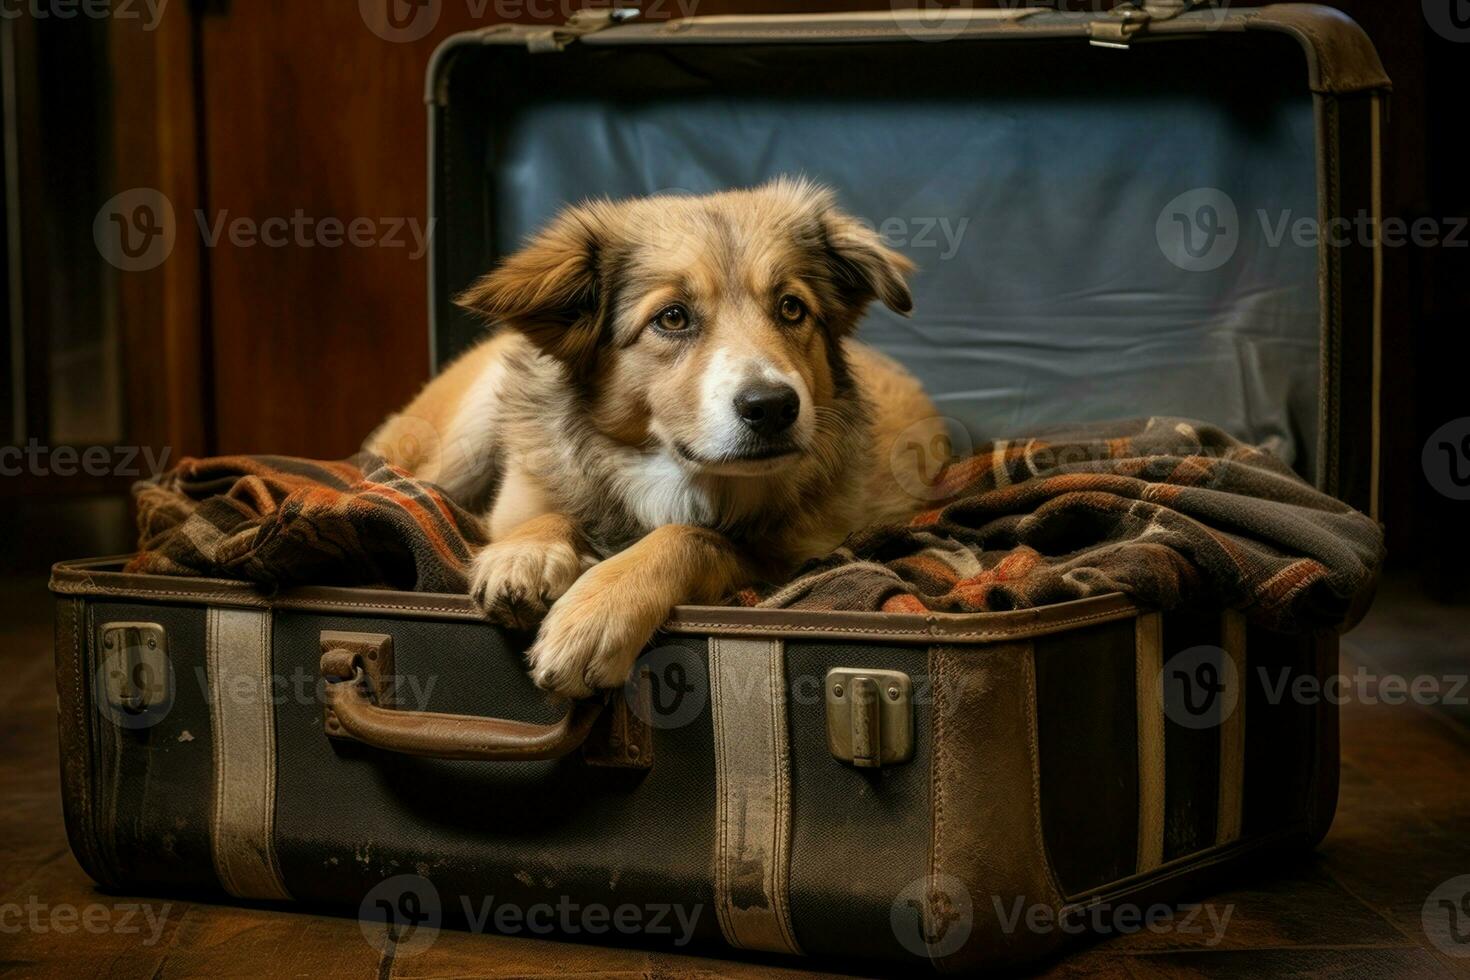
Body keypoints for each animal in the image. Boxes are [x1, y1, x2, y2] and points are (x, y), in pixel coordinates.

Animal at [367, 176, 940, 696]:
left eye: (792, 308)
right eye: (673, 317)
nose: (773, 406)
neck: (668, 470)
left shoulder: (790, 563)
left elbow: (693, 536)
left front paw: (599, 609)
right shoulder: (513, 502)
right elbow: (547, 512)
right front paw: (527, 553)